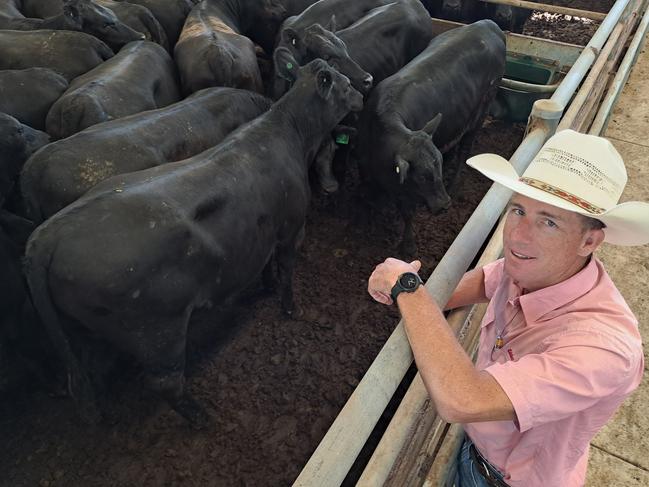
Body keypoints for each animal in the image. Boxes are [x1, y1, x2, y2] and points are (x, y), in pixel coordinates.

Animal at [354, 19, 506, 255]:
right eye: (422, 176)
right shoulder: (364, 167)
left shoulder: (408, 191)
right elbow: (368, 196)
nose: (444, 205)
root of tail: (487, 24)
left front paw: (408, 246)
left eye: (436, 169)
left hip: (481, 112)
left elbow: (408, 213)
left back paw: (454, 184)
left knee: (465, 149)